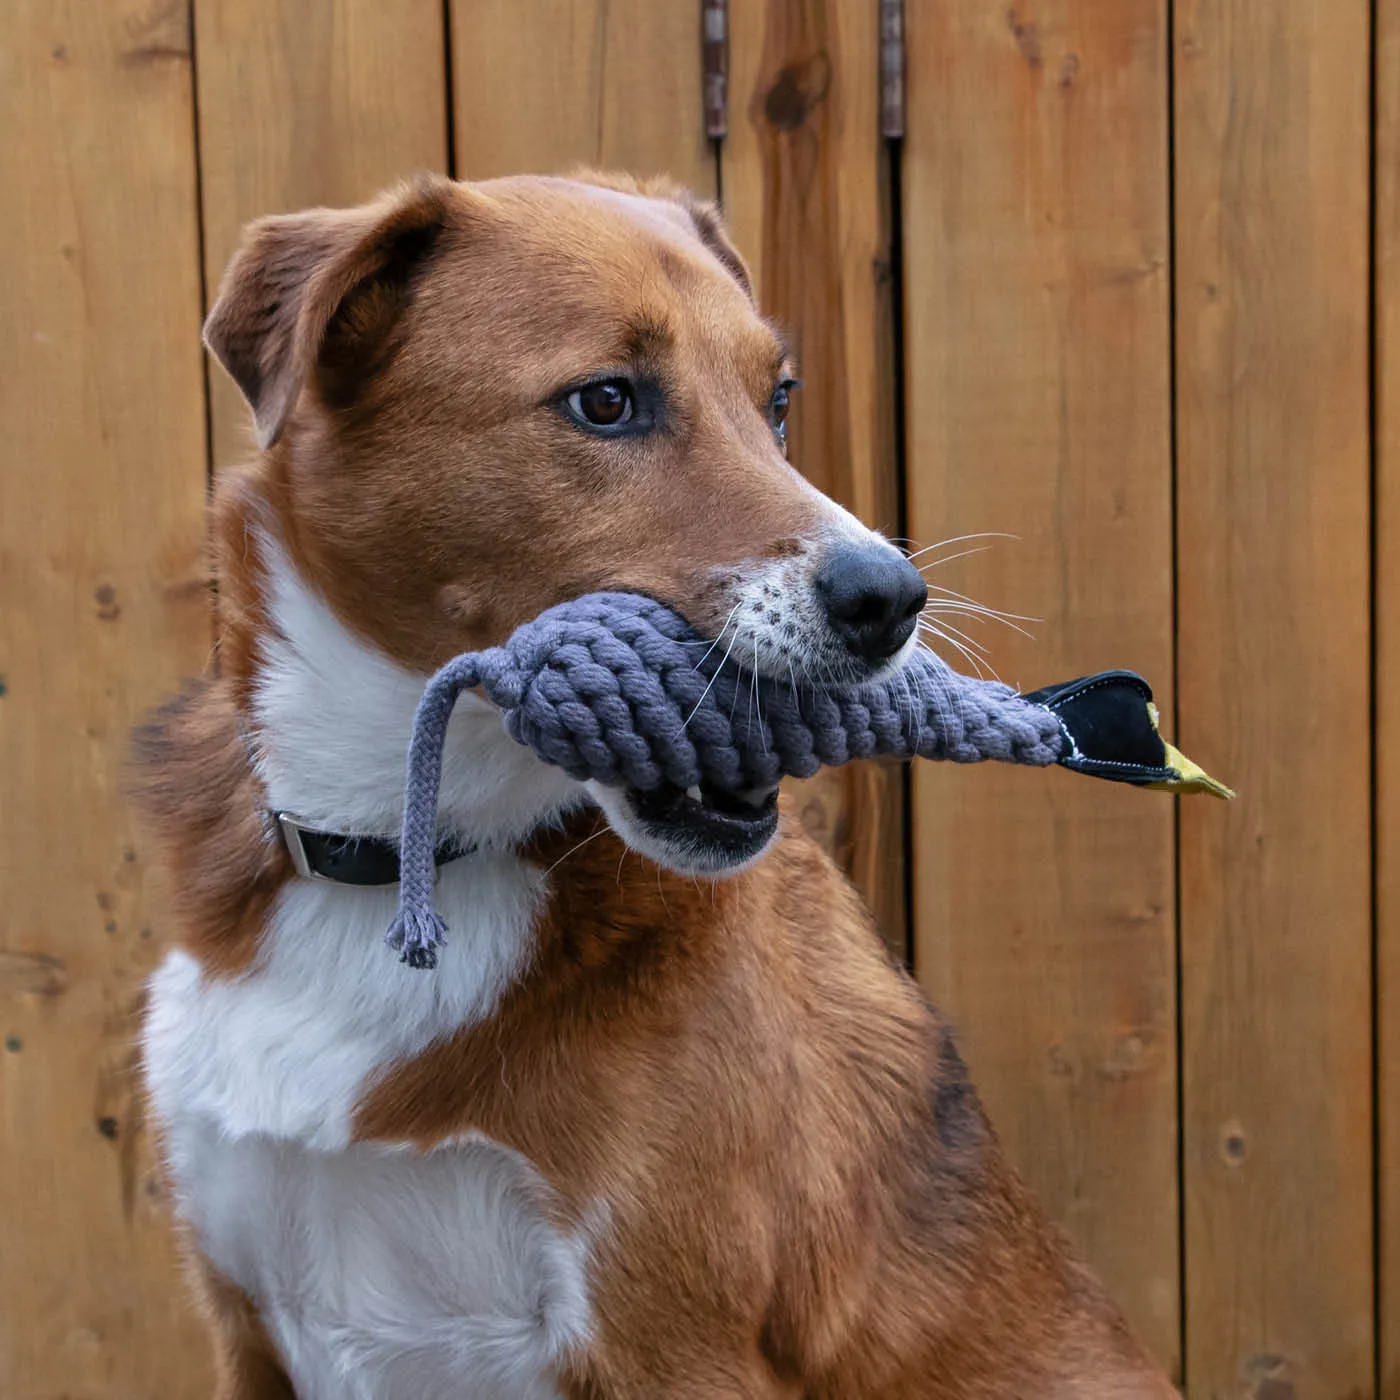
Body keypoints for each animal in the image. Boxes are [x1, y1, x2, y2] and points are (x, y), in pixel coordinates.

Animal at [136, 175, 1176, 1400]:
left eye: (777, 399)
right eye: (605, 401)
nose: (892, 599)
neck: (409, 860)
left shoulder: (670, 1348)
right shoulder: (248, 1329)